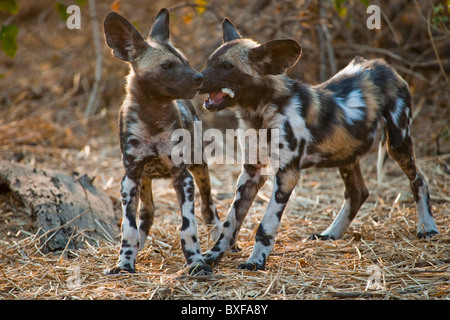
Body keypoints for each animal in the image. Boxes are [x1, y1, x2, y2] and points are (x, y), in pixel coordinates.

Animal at [102, 9, 221, 276]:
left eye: (185, 61)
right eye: (167, 66)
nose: (200, 77)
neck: (153, 119)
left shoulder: (182, 176)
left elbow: (189, 227)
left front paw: (196, 263)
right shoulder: (130, 178)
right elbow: (128, 228)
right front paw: (125, 262)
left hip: (200, 168)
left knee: (208, 207)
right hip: (144, 181)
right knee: (147, 214)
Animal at [200, 18, 440, 272]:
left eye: (227, 66)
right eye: (208, 62)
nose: (197, 78)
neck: (259, 114)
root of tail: (381, 64)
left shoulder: (287, 174)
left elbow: (266, 224)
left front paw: (256, 260)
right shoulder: (251, 173)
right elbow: (230, 223)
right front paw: (211, 257)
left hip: (397, 143)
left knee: (419, 181)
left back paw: (427, 227)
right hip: (346, 154)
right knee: (357, 193)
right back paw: (331, 233)